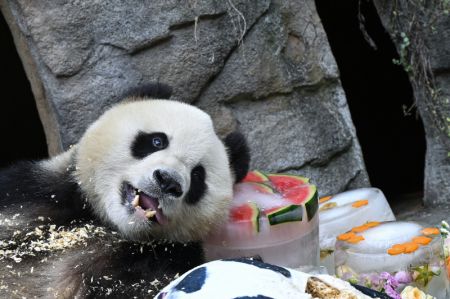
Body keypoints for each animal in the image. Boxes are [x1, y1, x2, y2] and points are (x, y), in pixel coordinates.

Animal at [0, 84, 250, 299]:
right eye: (157, 141)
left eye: (198, 175)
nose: (168, 182)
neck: (107, 225)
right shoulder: (31, 195)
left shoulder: (163, 261)